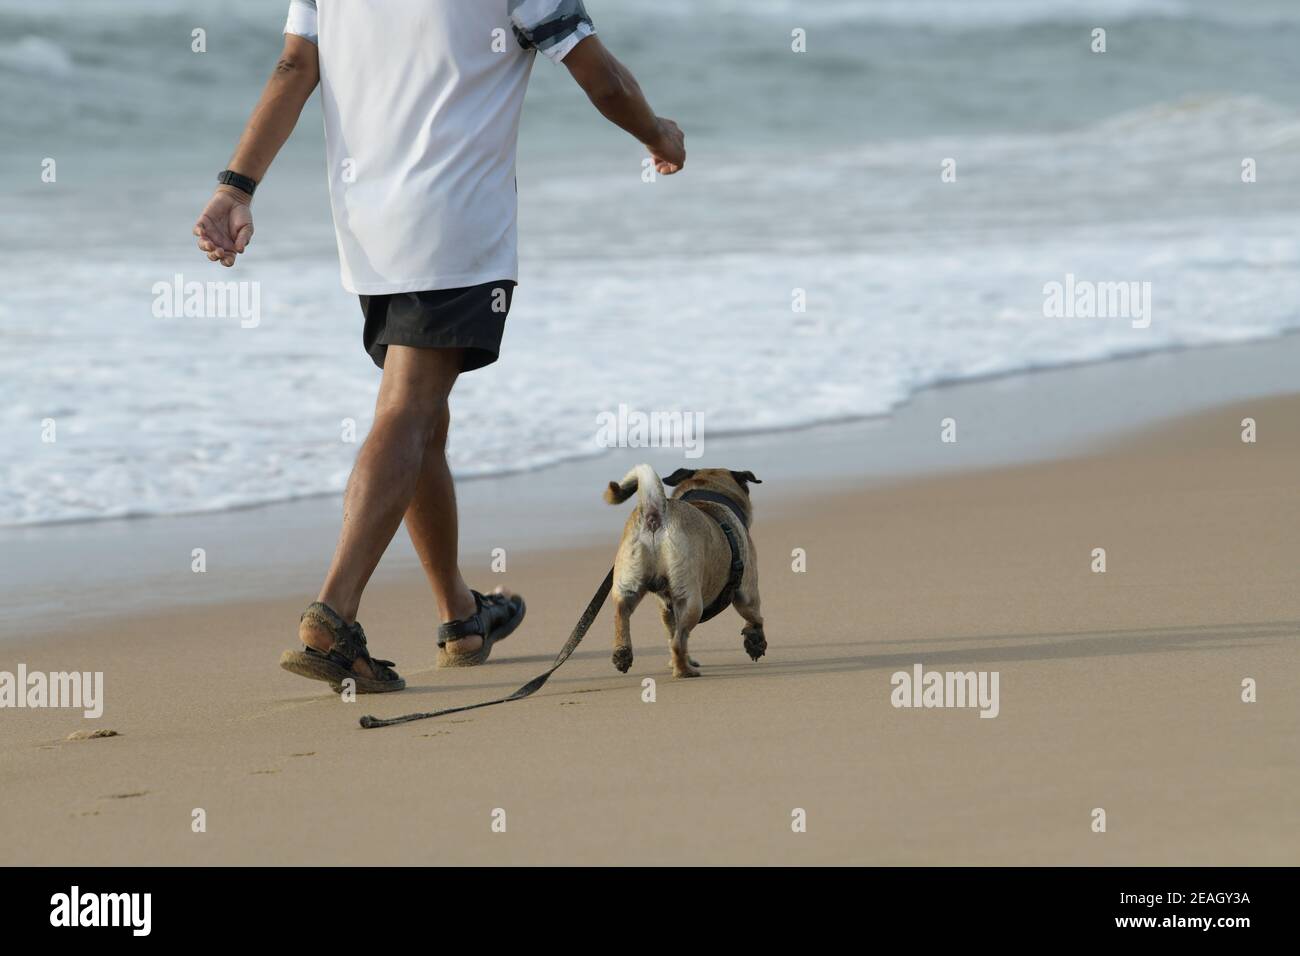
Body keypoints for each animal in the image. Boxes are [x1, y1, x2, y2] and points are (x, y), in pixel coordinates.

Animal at [603, 465, 764, 676]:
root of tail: (655, 513)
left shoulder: (666, 609)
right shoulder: (747, 590)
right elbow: (755, 617)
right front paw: (755, 642)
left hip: (628, 585)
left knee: (623, 615)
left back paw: (623, 654)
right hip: (690, 600)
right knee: (678, 642)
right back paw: (684, 671)